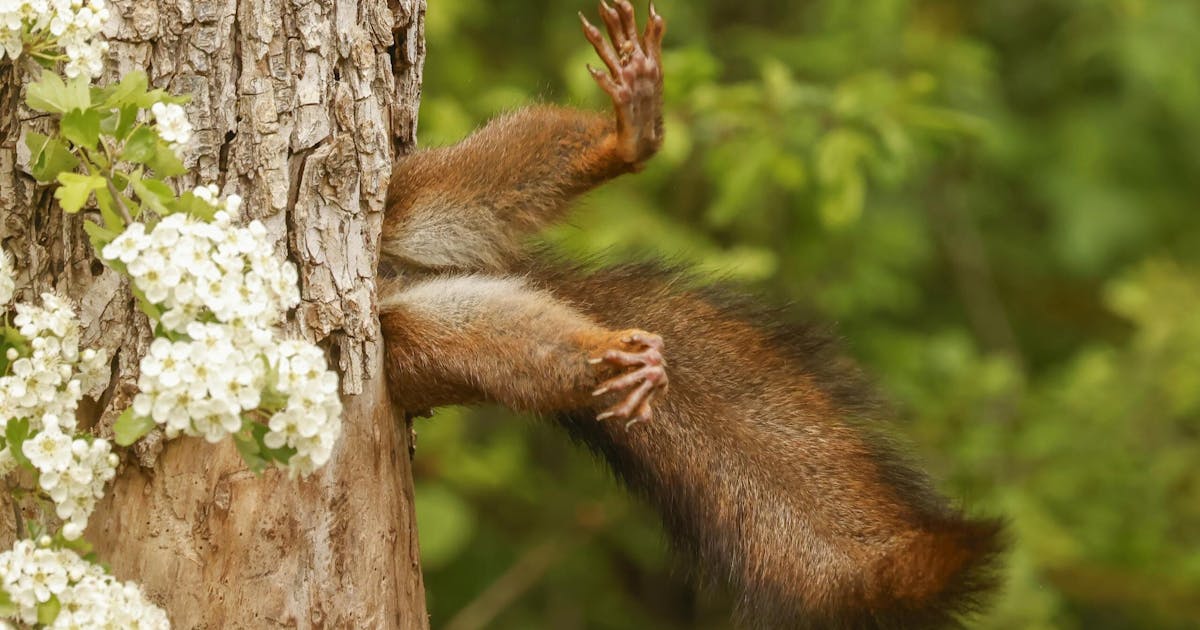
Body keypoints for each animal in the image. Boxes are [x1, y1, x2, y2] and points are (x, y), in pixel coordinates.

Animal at [381, 2, 1003, 624]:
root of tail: (399, 278)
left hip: (410, 197)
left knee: (486, 176)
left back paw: (629, 135)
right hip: (418, 343)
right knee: (504, 346)